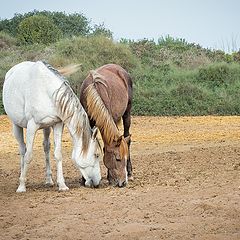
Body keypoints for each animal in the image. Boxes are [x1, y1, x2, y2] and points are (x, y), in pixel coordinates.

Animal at [3, 61, 102, 192]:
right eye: (96, 155)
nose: (98, 182)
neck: (47, 91)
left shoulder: (57, 124)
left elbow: (58, 154)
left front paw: (62, 185)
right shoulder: (32, 126)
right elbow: (28, 156)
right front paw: (21, 186)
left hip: (46, 127)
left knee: (46, 147)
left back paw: (49, 180)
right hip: (16, 125)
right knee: (23, 150)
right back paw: (22, 179)